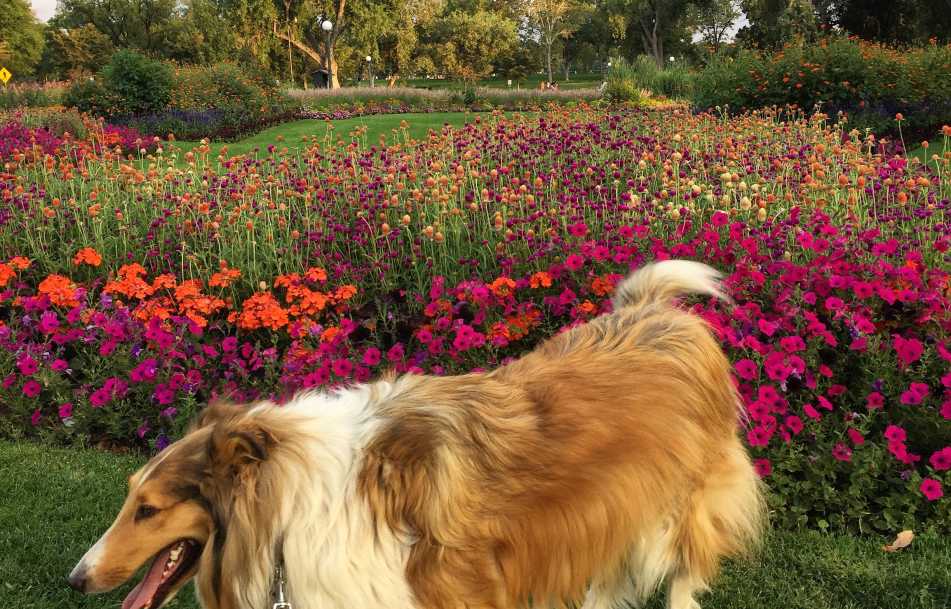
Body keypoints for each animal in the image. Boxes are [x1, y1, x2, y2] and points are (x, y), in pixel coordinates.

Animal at [69, 260, 768, 608]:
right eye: (132, 498)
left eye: (148, 509)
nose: (77, 580)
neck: (286, 509)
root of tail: (655, 312)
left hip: (681, 503)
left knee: (685, 573)